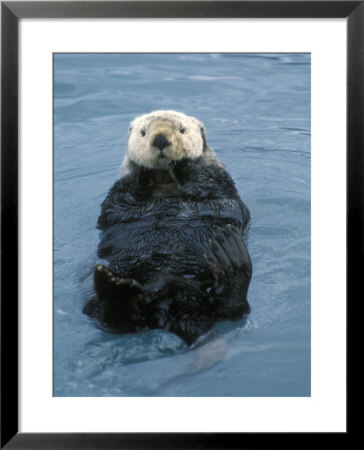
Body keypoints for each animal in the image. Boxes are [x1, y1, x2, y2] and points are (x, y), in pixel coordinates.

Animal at [83, 110, 252, 346]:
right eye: (143, 133)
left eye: (182, 130)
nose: (161, 139)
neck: (165, 182)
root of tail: (170, 305)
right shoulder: (117, 197)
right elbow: (117, 202)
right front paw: (143, 168)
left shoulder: (220, 183)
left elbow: (217, 190)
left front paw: (184, 162)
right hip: (97, 304)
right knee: (115, 320)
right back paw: (113, 287)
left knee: (230, 309)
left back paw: (231, 257)